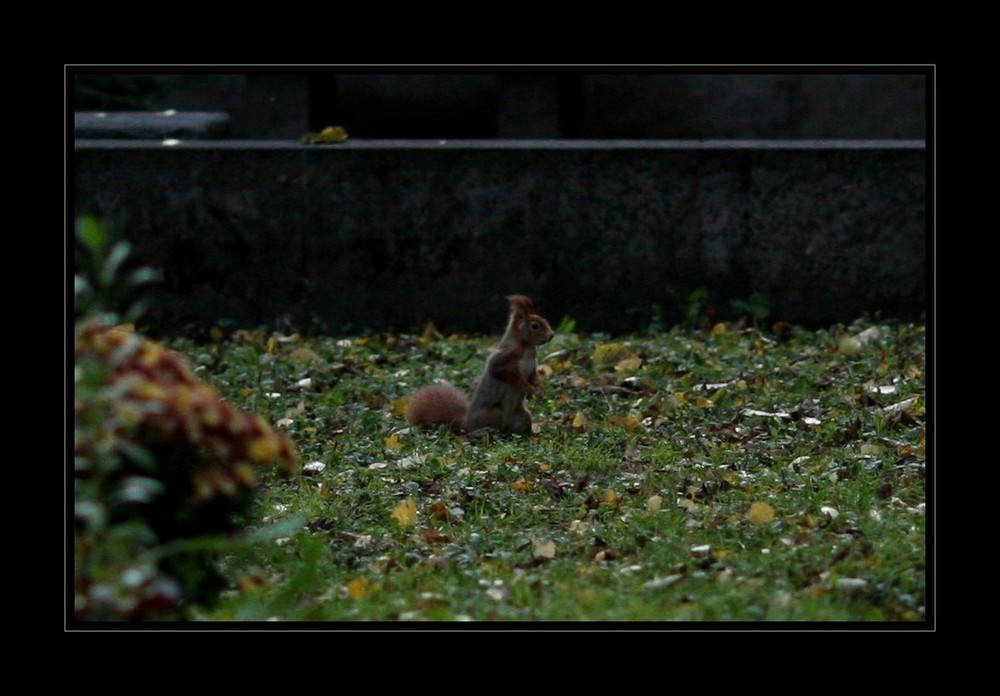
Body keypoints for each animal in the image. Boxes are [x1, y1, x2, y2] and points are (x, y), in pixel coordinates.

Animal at [404, 294, 556, 436]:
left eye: (544, 320)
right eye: (534, 325)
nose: (551, 335)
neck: (527, 347)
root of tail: (467, 423)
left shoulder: (531, 367)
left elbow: (534, 377)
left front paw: (539, 392)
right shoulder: (501, 361)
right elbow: (511, 376)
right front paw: (528, 388)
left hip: (523, 417)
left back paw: (532, 435)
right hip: (495, 414)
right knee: (479, 431)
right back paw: (482, 433)